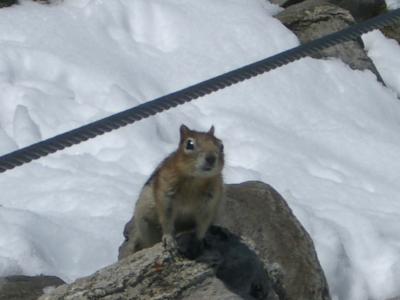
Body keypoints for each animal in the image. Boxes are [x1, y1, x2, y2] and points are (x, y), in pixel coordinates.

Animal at [131, 125, 225, 254]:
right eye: (189, 144)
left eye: (221, 145)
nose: (211, 158)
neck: (195, 180)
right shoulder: (166, 195)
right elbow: (167, 219)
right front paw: (169, 240)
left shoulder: (210, 201)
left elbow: (203, 223)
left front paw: (198, 241)